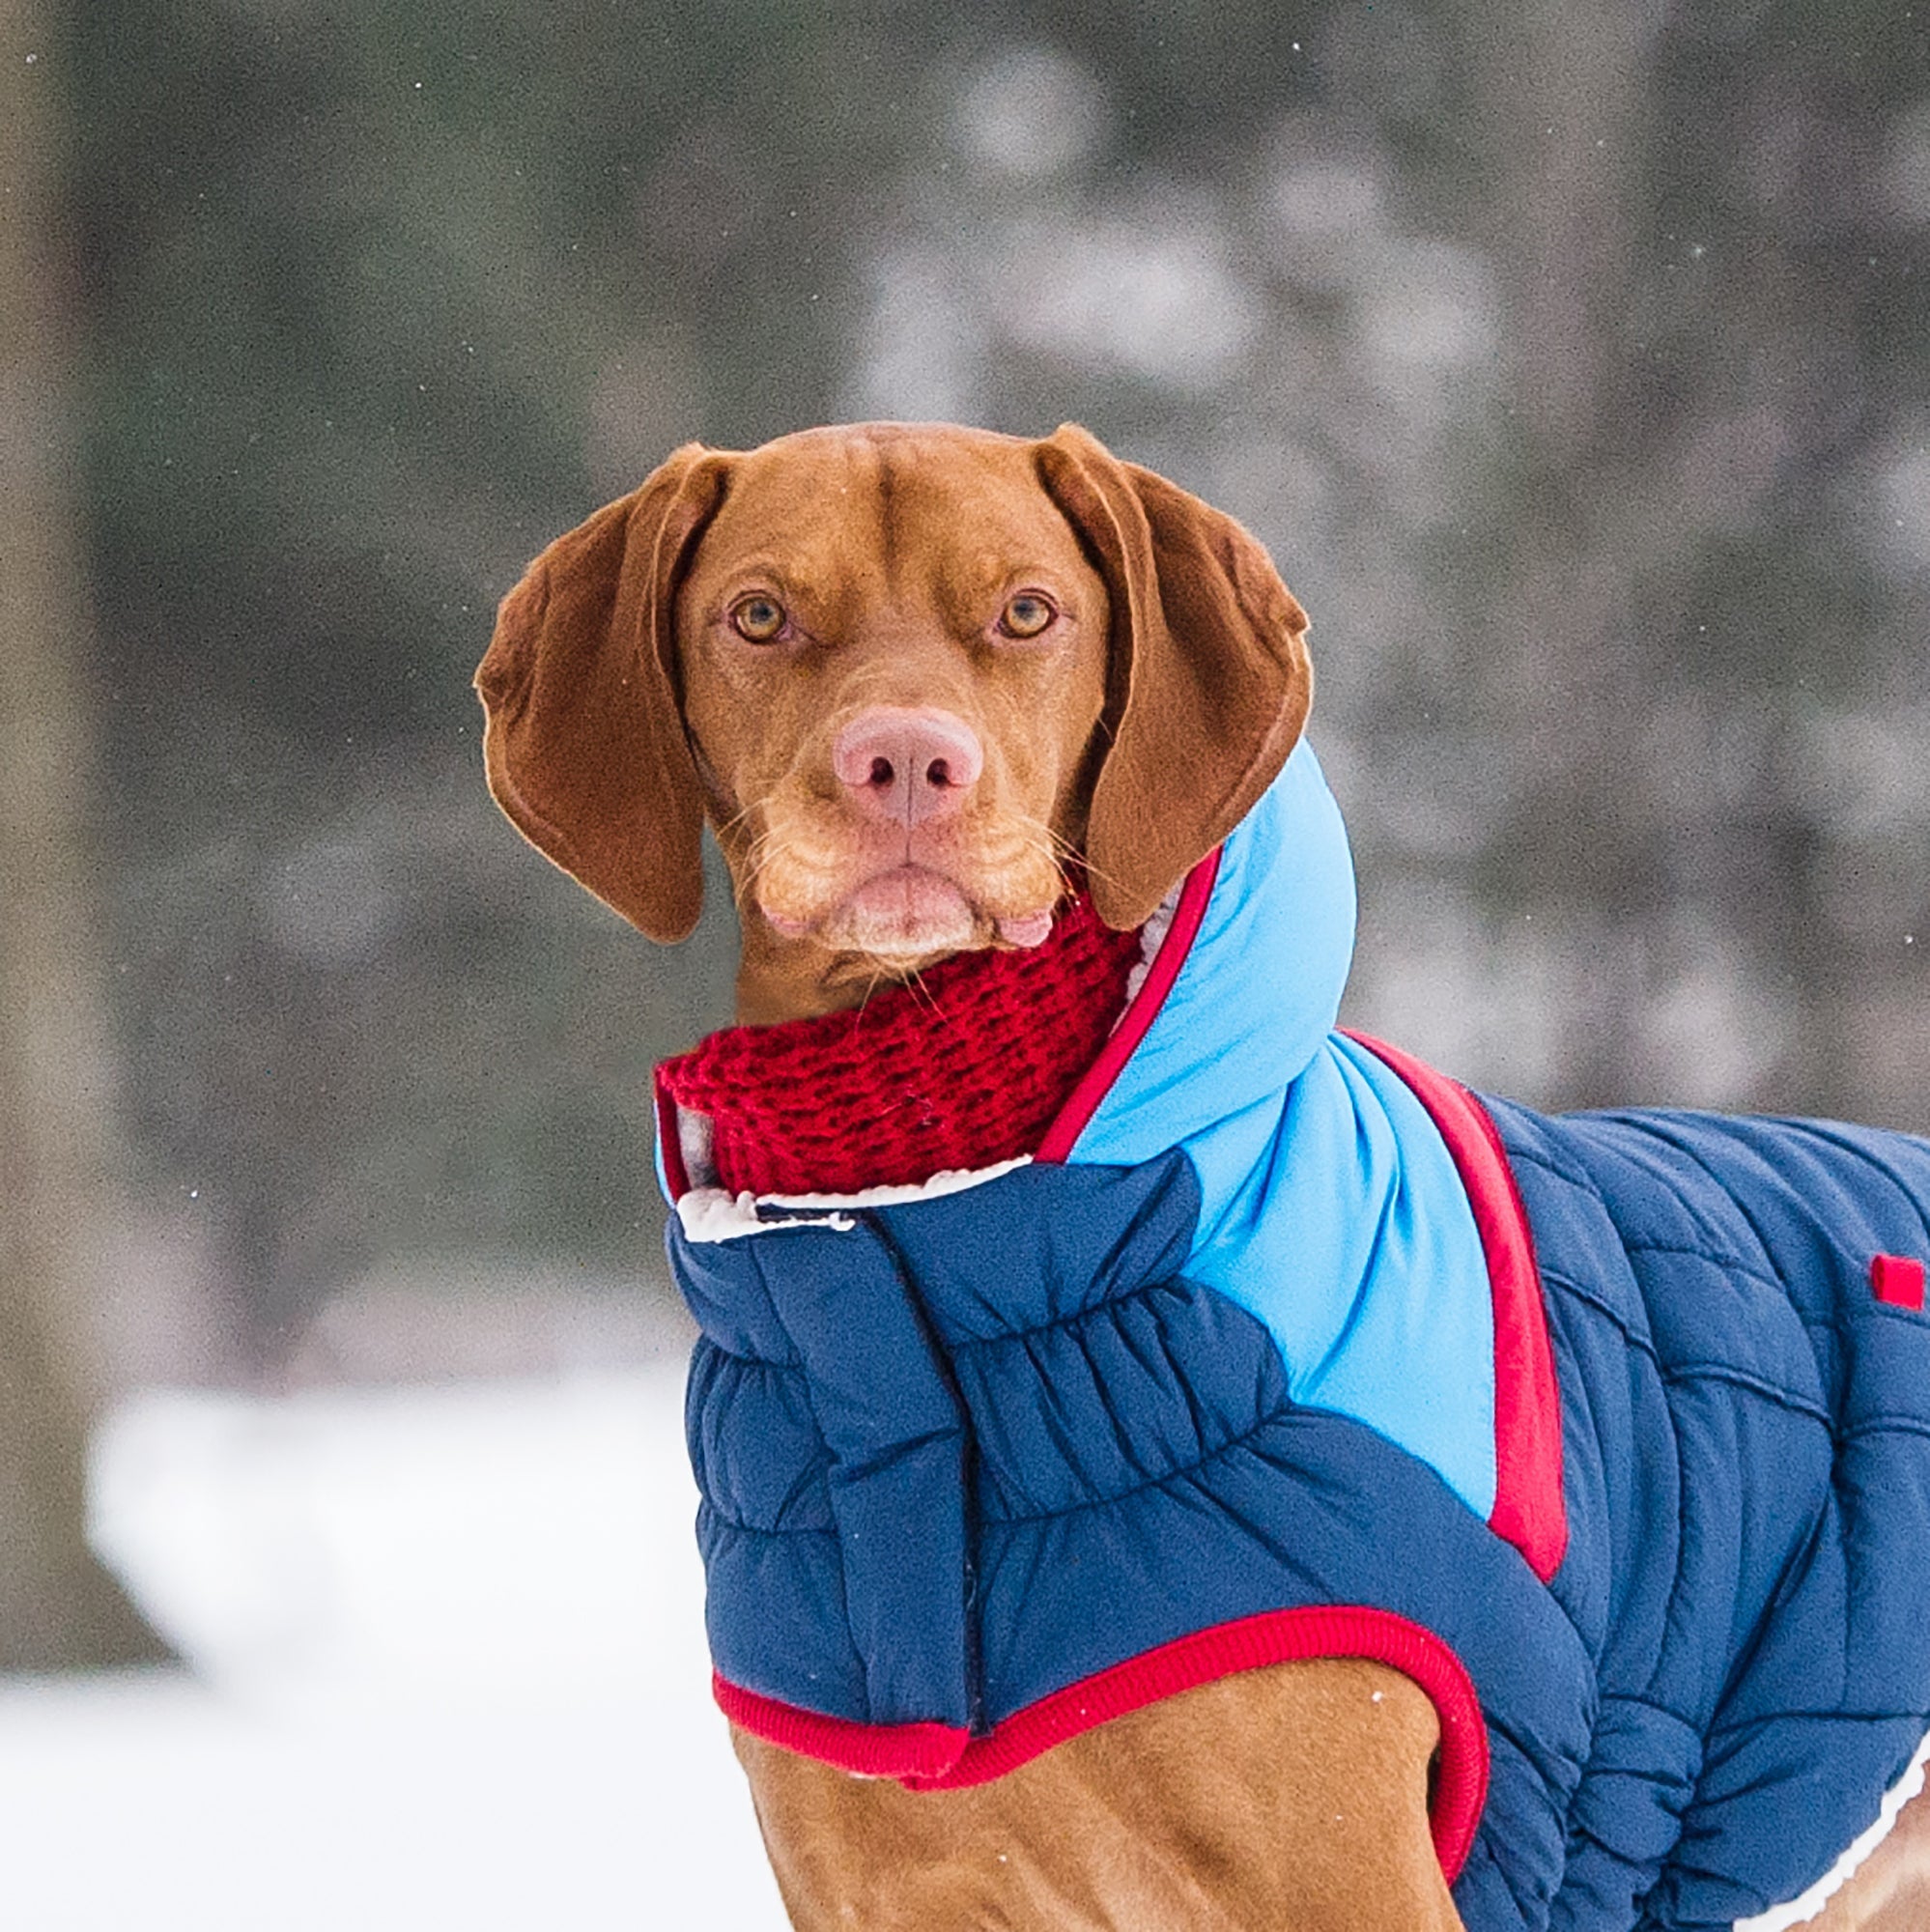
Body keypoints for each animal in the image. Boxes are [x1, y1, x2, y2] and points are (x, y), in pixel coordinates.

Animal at [479, 427, 1930, 1932]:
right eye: (758, 616)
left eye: (1027, 613)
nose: (905, 761)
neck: (914, 1213)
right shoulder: (879, 1890)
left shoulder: (1343, 1879)